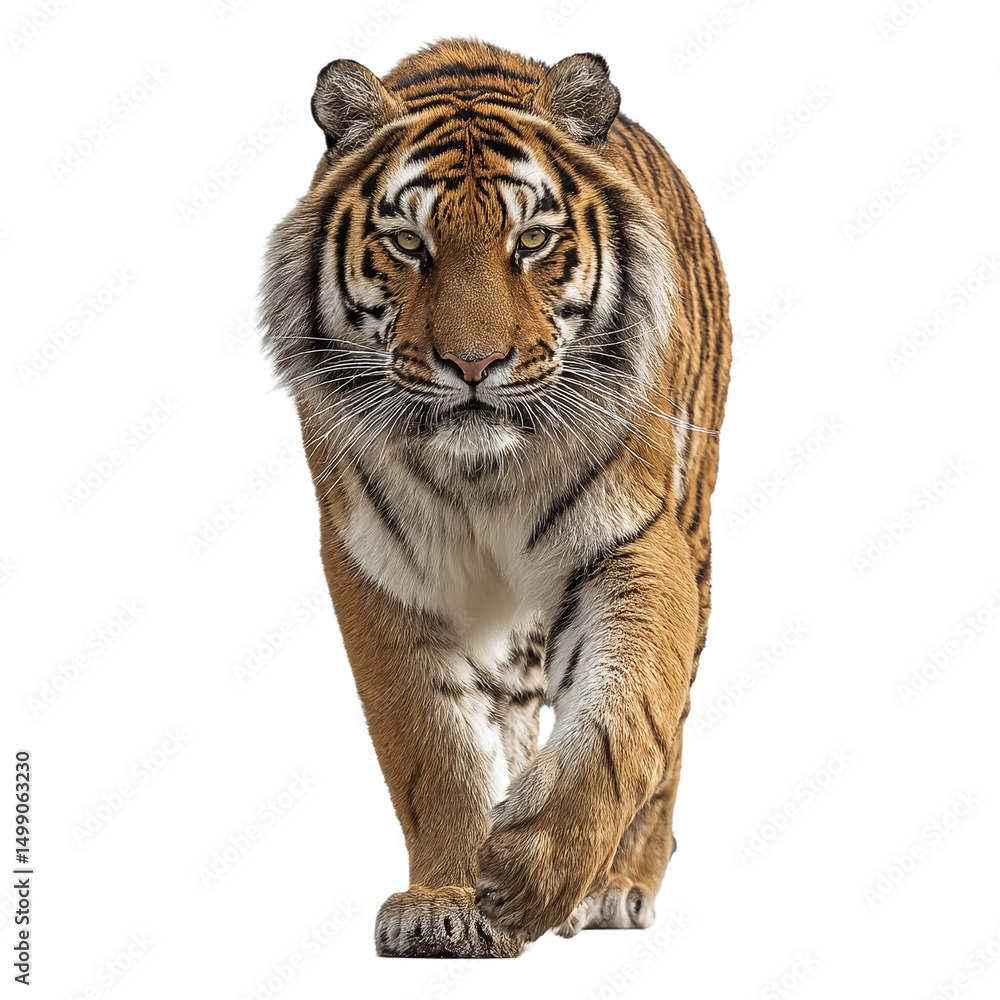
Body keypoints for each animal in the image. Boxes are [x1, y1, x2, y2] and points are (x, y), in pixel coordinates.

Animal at [260, 37, 731, 958]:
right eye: (409, 244)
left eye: (534, 240)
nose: (474, 365)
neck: (483, 476)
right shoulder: (377, 562)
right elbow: (432, 744)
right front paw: (446, 901)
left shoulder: (632, 542)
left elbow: (623, 724)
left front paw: (532, 877)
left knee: (670, 738)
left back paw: (615, 886)